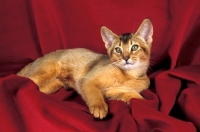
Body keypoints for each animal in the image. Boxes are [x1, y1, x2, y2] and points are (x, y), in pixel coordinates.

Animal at [18, 19, 154, 119]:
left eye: (134, 47)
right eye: (118, 50)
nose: (125, 58)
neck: (129, 75)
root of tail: (37, 59)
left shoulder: (114, 91)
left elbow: (135, 97)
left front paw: (146, 105)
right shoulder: (86, 80)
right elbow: (94, 94)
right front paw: (99, 107)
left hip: (51, 86)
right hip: (45, 72)